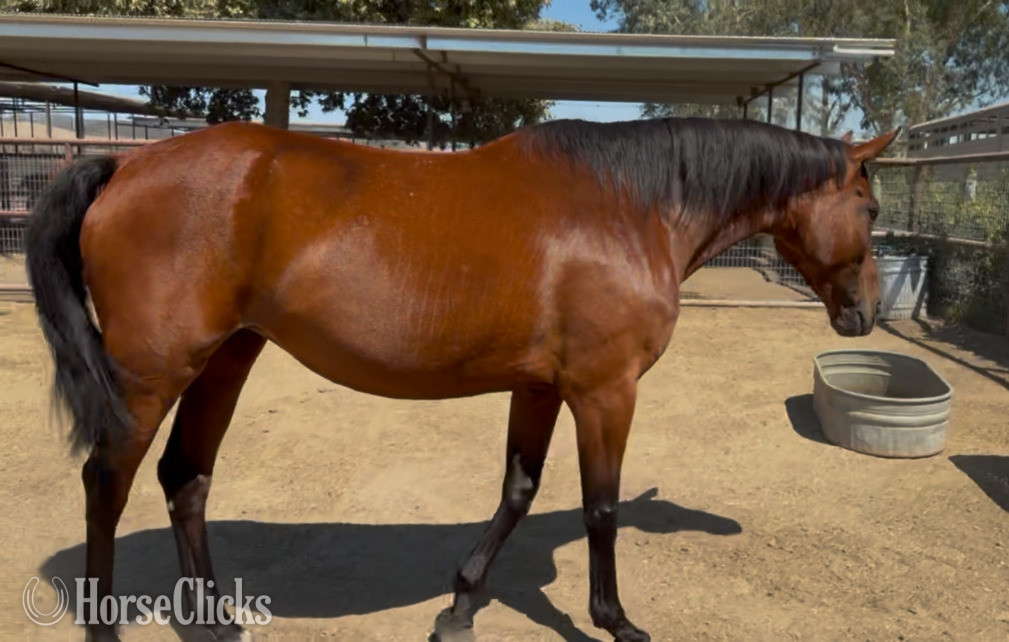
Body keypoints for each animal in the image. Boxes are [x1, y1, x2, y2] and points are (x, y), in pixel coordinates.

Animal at [25, 116, 897, 642]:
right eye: (871, 209)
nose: (865, 312)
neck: (629, 207)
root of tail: (127, 162)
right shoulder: (604, 390)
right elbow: (601, 507)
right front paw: (614, 619)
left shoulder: (540, 387)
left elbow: (517, 490)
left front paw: (460, 603)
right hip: (152, 373)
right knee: (108, 481)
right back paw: (105, 623)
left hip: (226, 358)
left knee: (185, 478)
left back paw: (214, 618)